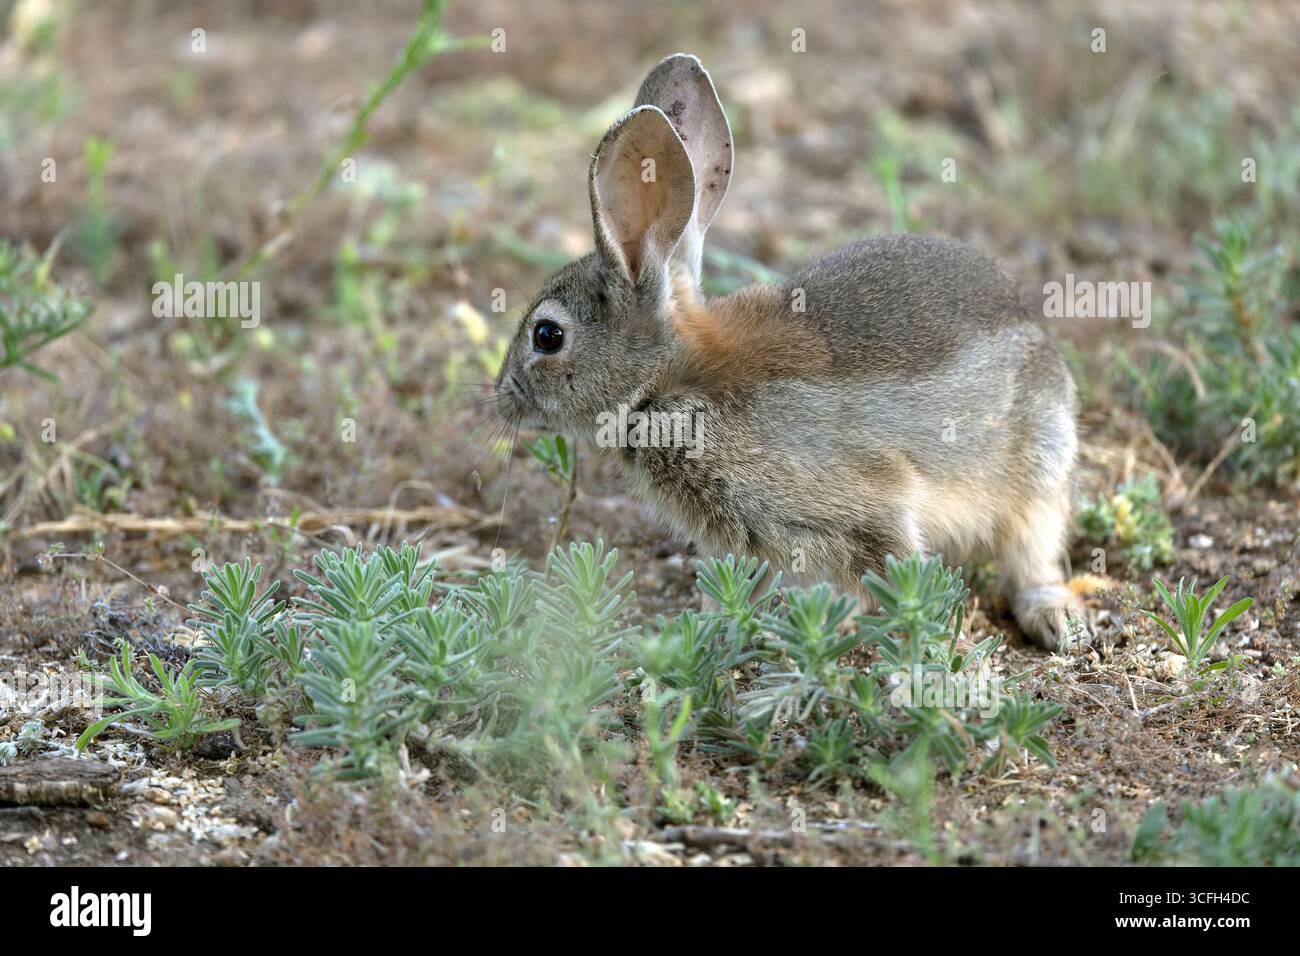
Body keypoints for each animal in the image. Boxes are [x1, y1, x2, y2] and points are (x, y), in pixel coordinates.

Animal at [496, 53, 1087, 650]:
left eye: (547, 336)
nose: (503, 396)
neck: (668, 382)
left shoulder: (864, 505)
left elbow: (899, 572)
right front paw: (710, 633)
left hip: (1039, 466)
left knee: (1032, 553)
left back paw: (1053, 618)